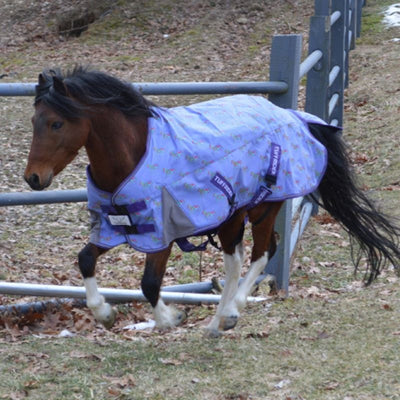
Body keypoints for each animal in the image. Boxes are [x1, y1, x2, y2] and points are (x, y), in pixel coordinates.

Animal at [24, 66, 400, 337]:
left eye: (56, 123)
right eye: (33, 121)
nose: (33, 178)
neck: (132, 158)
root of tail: (295, 117)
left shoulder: (161, 236)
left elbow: (149, 284)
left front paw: (170, 318)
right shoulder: (114, 228)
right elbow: (85, 259)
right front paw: (104, 312)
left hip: (262, 209)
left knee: (262, 253)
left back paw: (230, 313)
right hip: (230, 217)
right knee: (238, 261)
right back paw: (221, 319)